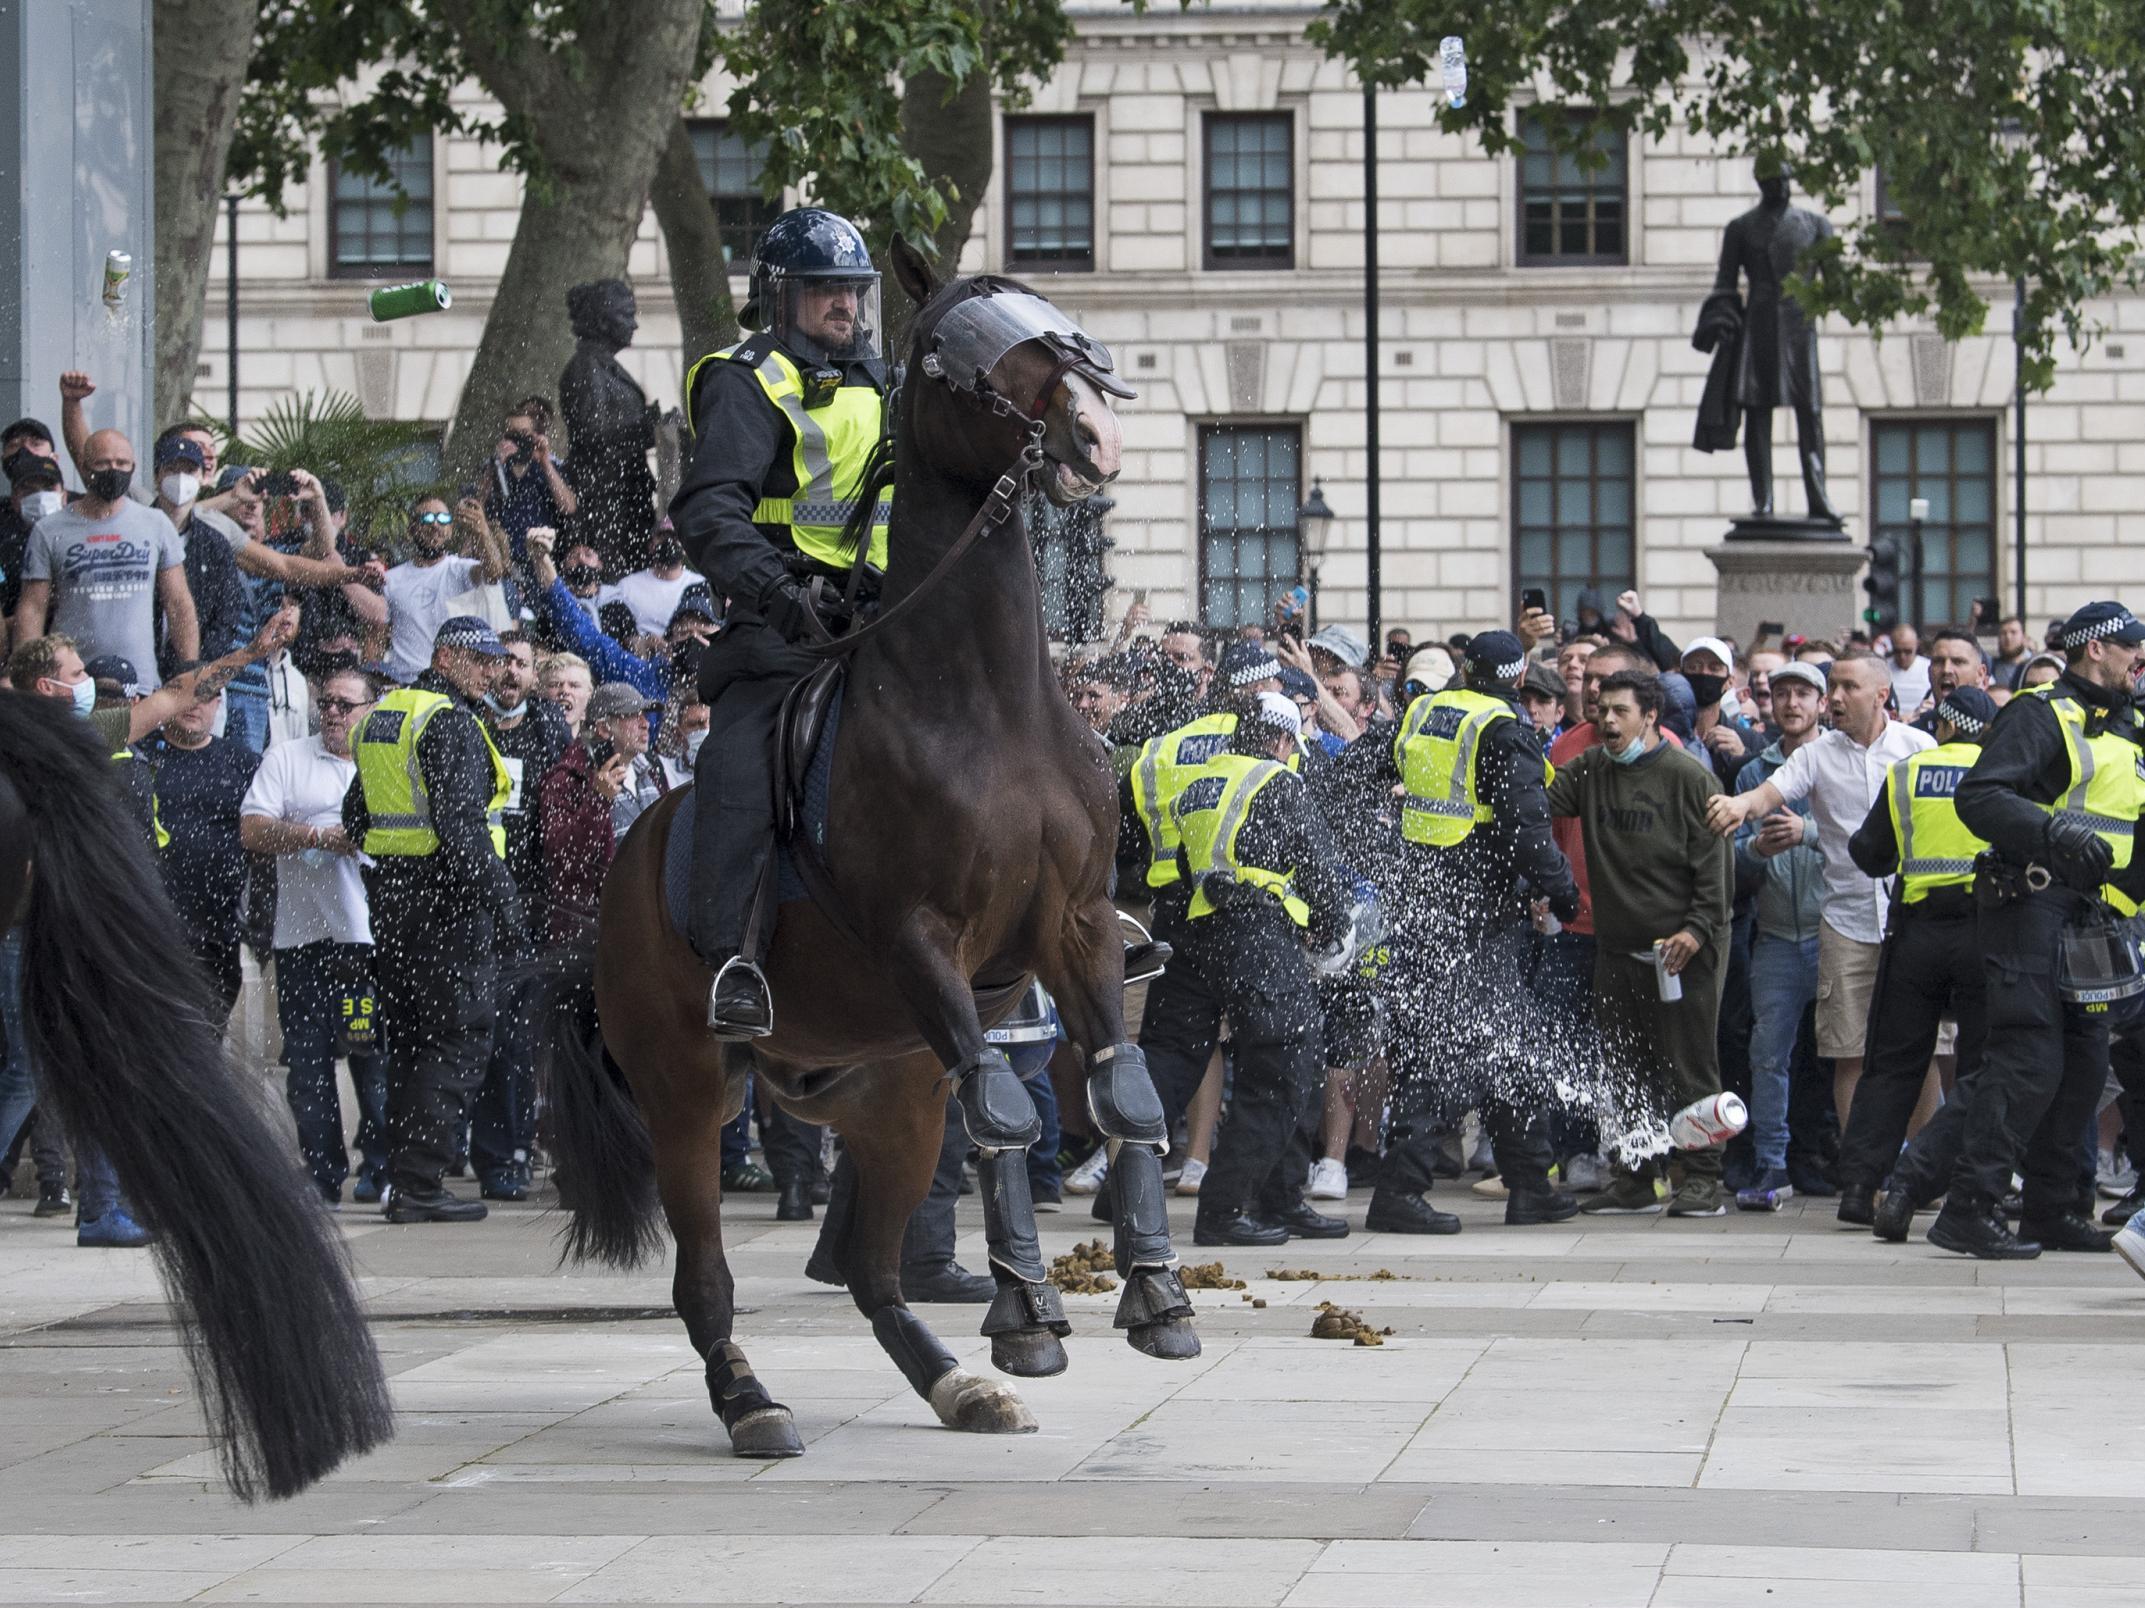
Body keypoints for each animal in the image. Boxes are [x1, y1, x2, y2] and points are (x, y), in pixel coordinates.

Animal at [544, 239, 1201, 1457]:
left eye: (1054, 317)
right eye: (960, 352)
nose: (1095, 434)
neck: (983, 701)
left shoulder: (1076, 928)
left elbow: (1124, 1094)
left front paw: (1154, 1295)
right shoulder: (917, 940)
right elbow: (1007, 1112)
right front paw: (1032, 1314)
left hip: (888, 1092)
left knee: (870, 1267)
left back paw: (956, 1384)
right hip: (689, 1091)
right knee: (705, 1280)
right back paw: (752, 1401)